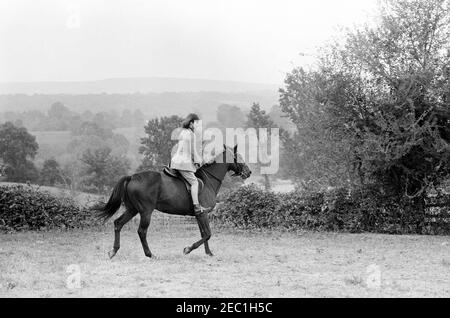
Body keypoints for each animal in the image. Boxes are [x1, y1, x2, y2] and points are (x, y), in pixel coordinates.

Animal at [94, 145, 251, 258]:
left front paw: (209, 253)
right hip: (145, 211)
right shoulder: (203, 213)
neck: (208, 181)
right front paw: (188, 249)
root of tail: (132, 177)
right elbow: (207, 234)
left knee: (118, 224)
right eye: (238, 157)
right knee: (141, 231)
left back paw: (113, 251)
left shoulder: (199, 215)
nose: (249, 172)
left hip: (132, 209)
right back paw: (150, 254)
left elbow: (204, 234)